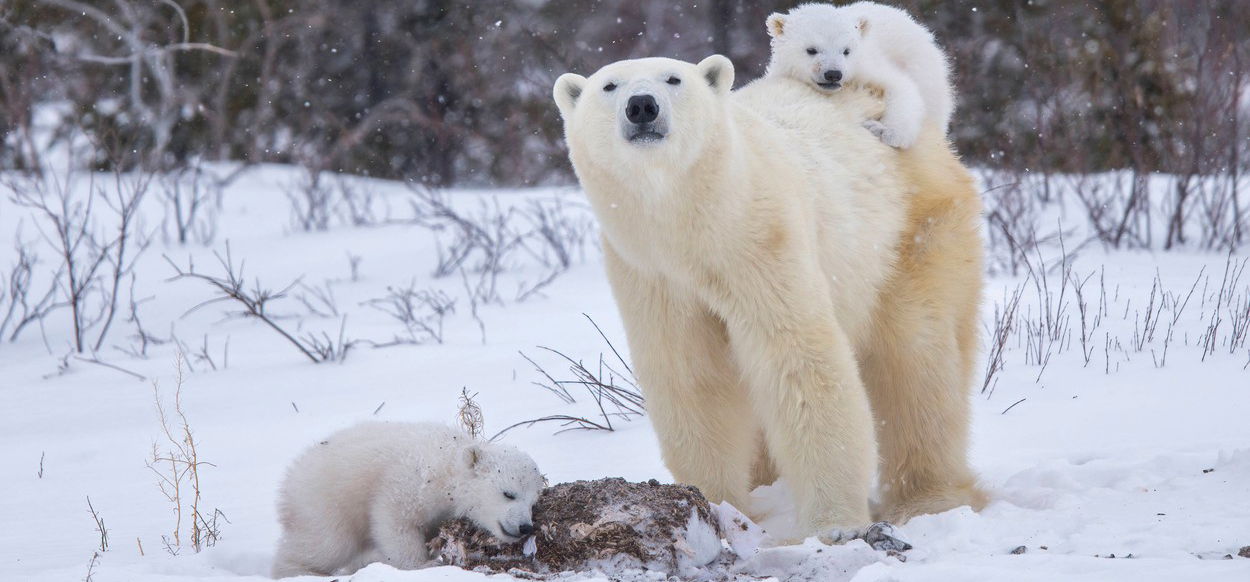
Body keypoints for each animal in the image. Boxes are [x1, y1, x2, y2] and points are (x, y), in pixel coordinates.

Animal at [271, 422, 545, 577]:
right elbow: (396, 522)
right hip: (325, 502)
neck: (446, 468)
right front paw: (423, 566)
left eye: (532, 502)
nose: (525, 527)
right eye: (508, 493)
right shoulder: (409, 482)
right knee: (326, 544)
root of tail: (289, 480)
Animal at [555, 54, 985, 537]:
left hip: (910, 233)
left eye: (673, 78)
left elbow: (798, 359)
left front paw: (834, 524)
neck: (693, 227)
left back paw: (929, 499)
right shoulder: (650, 272)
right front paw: (713, 503)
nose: (642, 106)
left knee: (916, 359)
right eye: (608, 86)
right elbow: (691, 376)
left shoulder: (761, 239)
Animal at [760, 2, 955, 147]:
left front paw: (886, 132)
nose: (833, 74)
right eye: (811, 50)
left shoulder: (868, 64)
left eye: (846, 51)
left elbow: (901, 87)